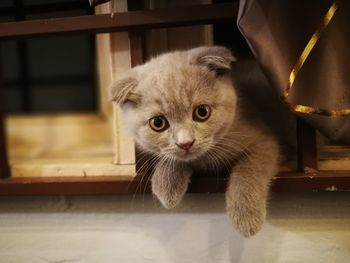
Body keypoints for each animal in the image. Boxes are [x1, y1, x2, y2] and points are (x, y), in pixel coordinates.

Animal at [110, 46, 280, 238]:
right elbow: (173, 158)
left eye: (202, 112)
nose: (186, 143)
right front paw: (166, 184)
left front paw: (246, 215)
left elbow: (250, 169)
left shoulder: (264, 141)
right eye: (158, 123)